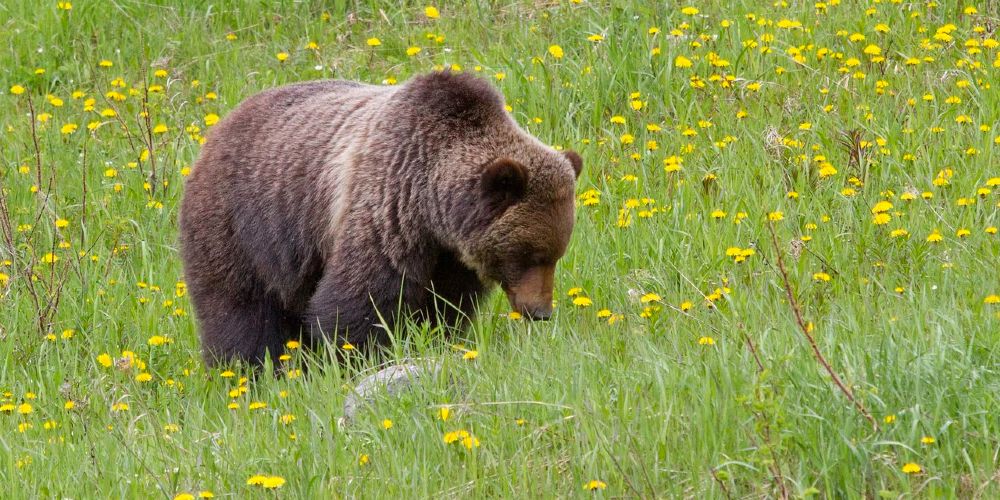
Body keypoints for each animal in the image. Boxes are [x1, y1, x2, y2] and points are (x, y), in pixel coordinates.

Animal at [179, 72, 584, 366]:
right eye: (530, 254)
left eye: (556, 254)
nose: (540, 311)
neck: (432, 211)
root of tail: (215, 130)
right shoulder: (385, 209)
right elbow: (359, 299)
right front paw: (358, 357)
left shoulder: (449, 256)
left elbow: (446, 306)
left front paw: (438, 339)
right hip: (242, 225)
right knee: (241, 309)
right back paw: (249, 370)